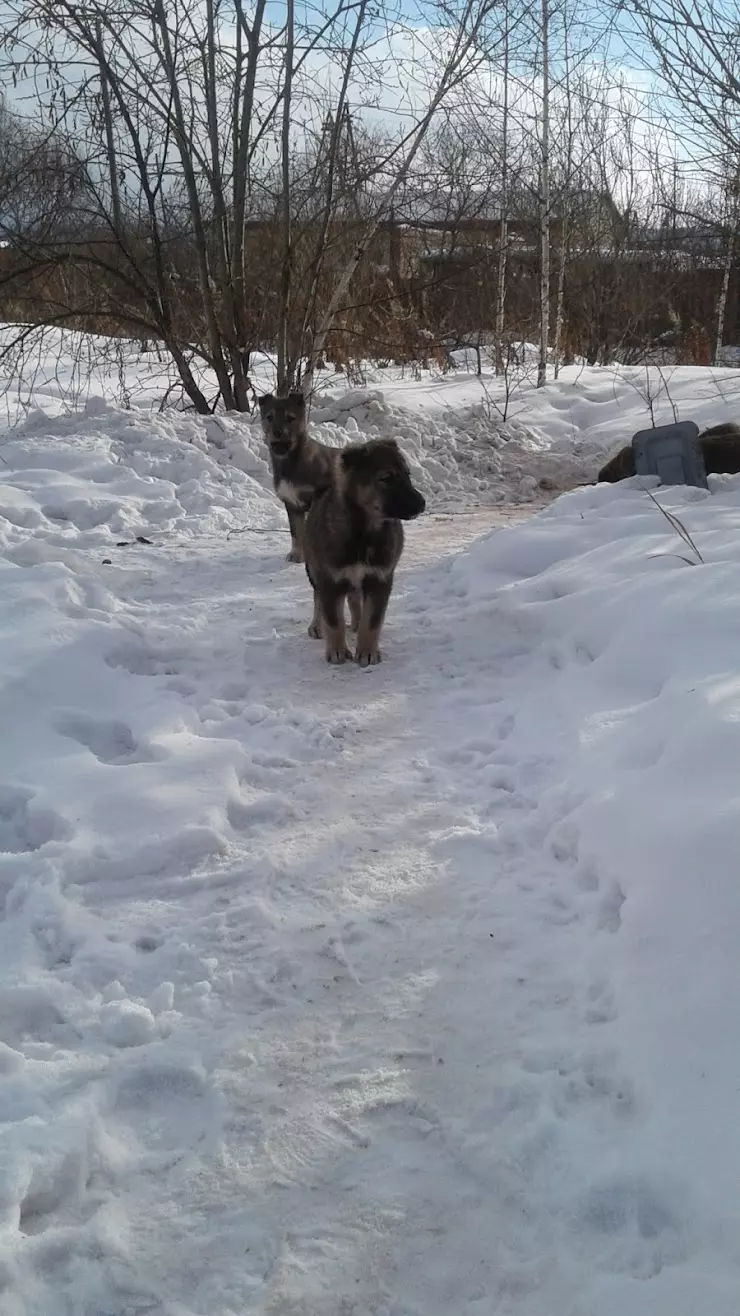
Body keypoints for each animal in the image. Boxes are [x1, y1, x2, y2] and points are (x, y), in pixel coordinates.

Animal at [255, 386, 333, 557]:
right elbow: (296, 532)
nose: (277, 432)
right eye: (269, 417)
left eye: (290, 418)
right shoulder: (291, 504)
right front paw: (297, 555)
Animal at [301, 439, 426, 668]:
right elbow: (333, 620)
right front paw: (337, 651)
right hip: (313, 569)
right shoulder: (329, 579)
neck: (364, 533)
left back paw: (356, 623)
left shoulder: (380, 579)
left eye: (407, 475)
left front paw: (367, 651)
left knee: (354, 599)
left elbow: (372, 620)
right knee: (318, 599)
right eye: (385, 479)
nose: (422, 504)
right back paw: (316, 625)